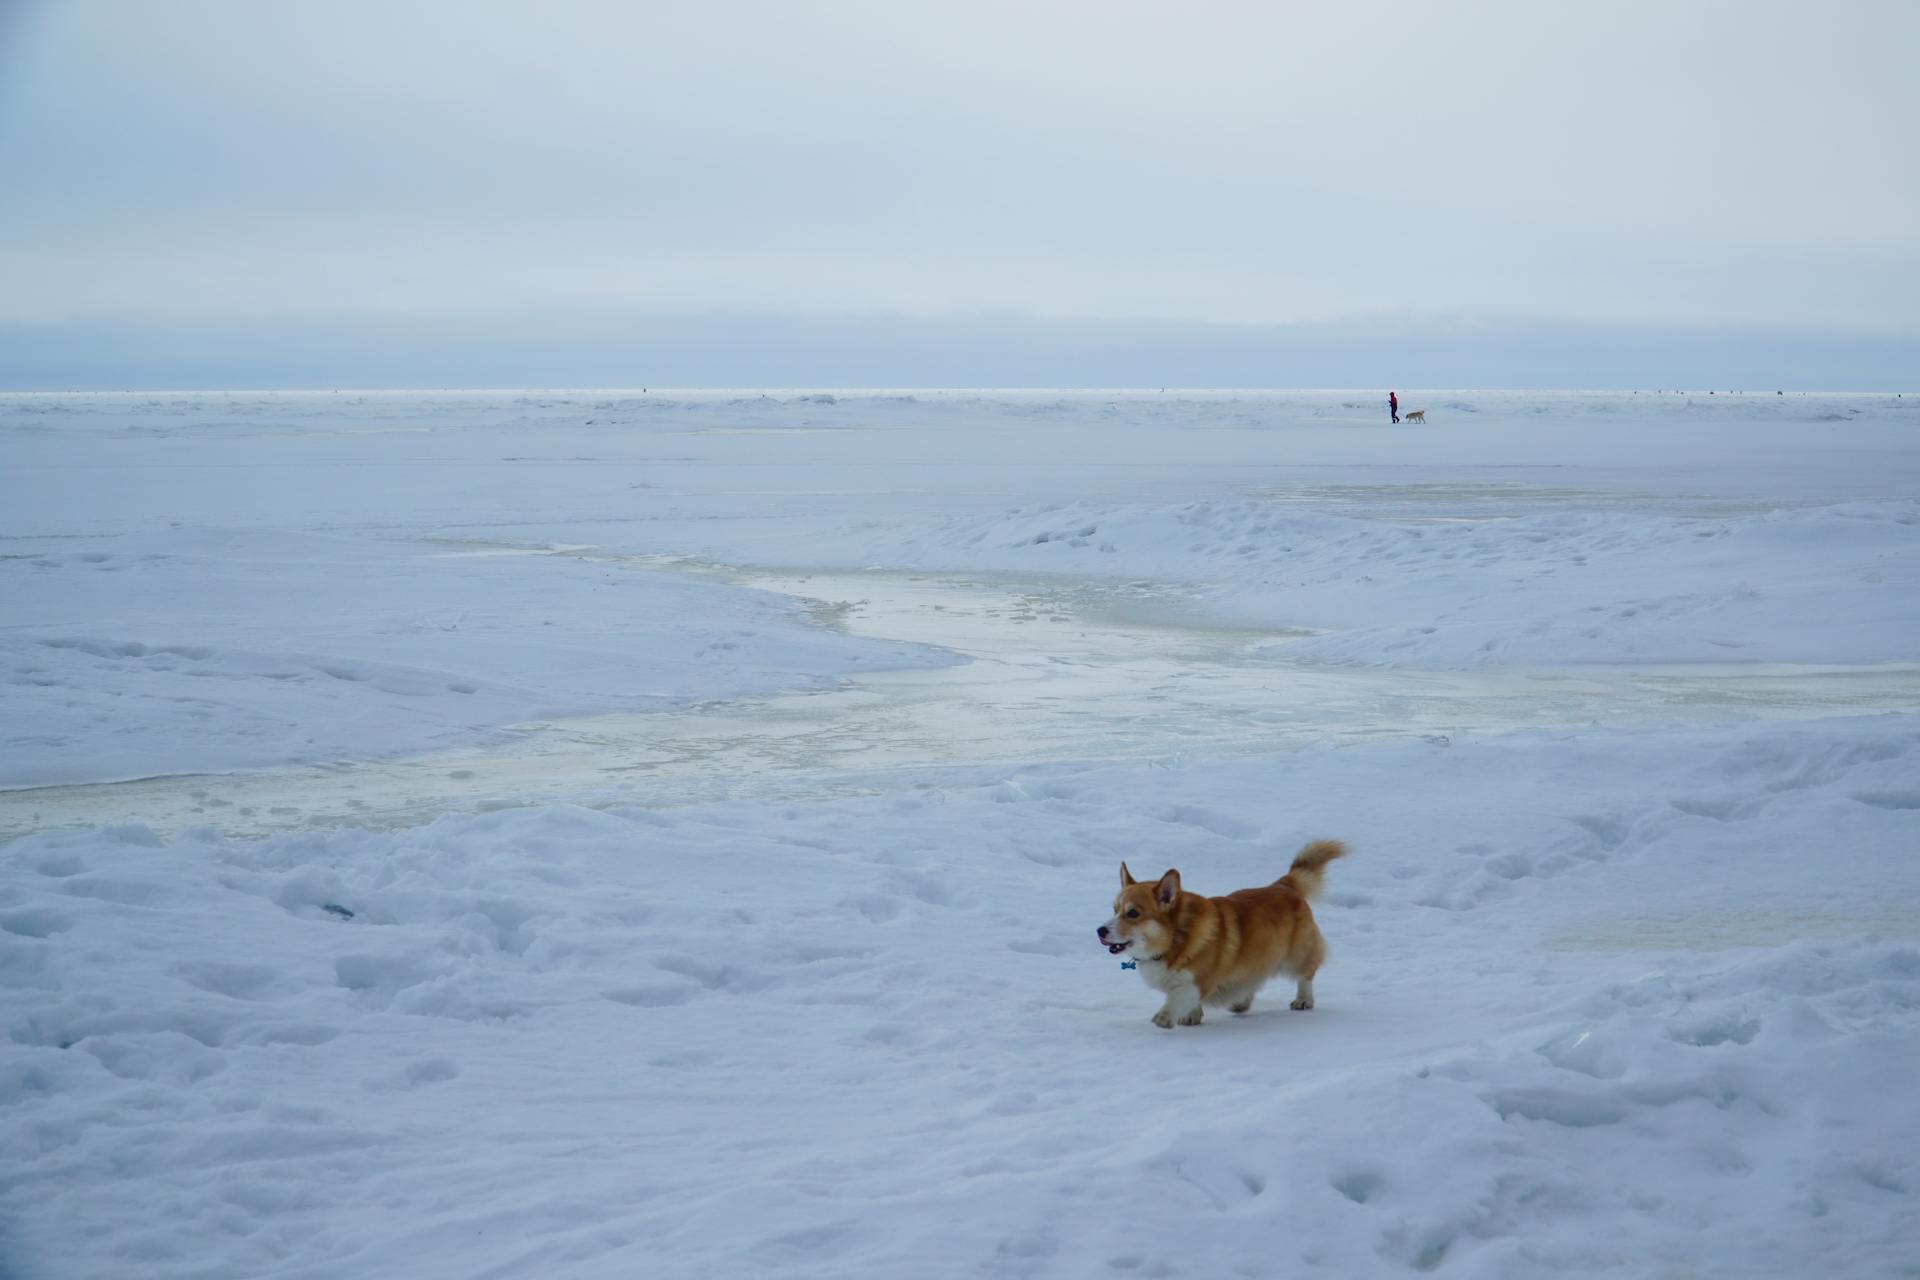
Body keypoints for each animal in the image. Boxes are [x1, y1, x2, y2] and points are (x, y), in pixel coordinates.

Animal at [1098, 840, 1351, 1028]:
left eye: (1133, 913)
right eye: (1114, 909)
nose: (1099, 931)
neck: (1175, 938)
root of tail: (1284, 885)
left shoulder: (1198, 980)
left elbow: (1178, 995)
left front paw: (1164, 1017)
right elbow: (1190, 1002)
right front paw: (1191, 1016)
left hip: (1295, 957)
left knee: (1306, 974)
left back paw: (1303, 1000)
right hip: (1256, 958)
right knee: (1253, 979)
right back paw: (1241, 1003)